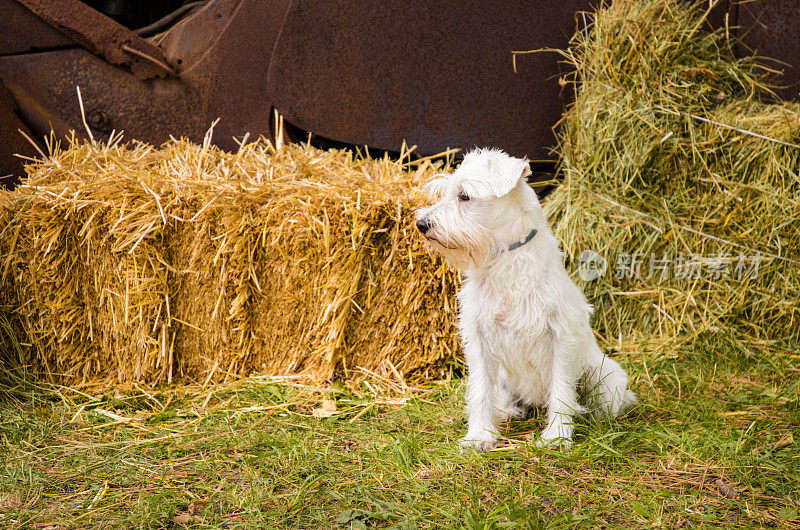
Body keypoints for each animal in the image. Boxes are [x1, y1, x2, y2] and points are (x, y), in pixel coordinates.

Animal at [416, 146, 636, 448]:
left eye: (464, 196)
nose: (421, 224)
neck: (505, 258)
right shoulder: (479, 339)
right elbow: (479, 391)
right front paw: (479, 435)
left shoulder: (561, 336)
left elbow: (561, 391)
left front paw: (556, 436)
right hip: (503, 379)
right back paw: (508, 412)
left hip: (605, 376)